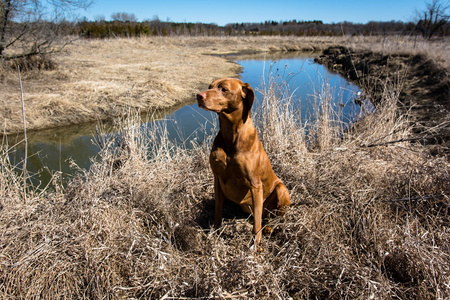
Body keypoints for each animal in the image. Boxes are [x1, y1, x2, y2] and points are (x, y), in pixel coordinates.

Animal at [196, 77, 288, 246]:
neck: (231, 135)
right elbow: (218, 209)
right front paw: (215, 230)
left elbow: (257, 223)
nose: (199, 96)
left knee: (270, 216)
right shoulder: (217, 178)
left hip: (281, 189)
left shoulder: (255, 185)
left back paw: (269, 227)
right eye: (210, 86)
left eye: (224, 89)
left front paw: (256, 243)